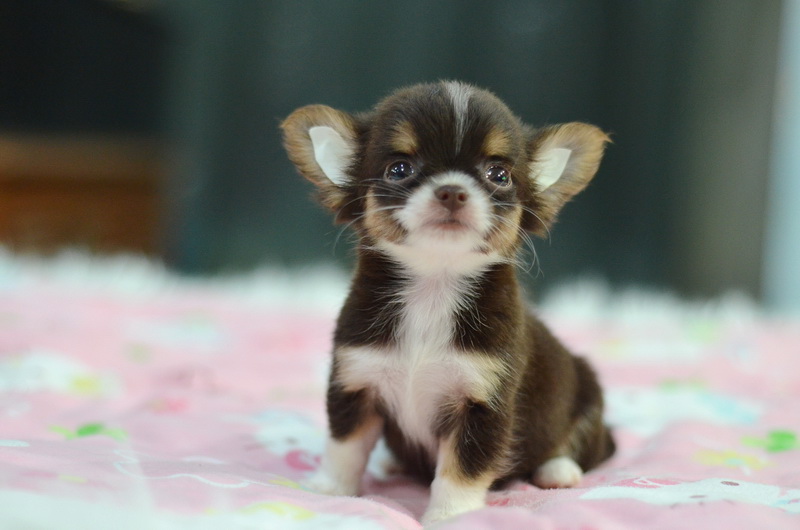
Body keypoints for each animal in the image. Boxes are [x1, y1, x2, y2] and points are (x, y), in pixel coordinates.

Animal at [281, 81, 614, 524]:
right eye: (399, 169)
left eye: (499, 175)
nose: (452, 191)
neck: (433, 288)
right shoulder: (356, 383)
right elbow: (345, 447)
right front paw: (331, 491)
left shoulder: (483, 404)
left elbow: (461, 469)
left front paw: (448, 516)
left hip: (587, 390)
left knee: (588, 447)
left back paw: (558, 469)